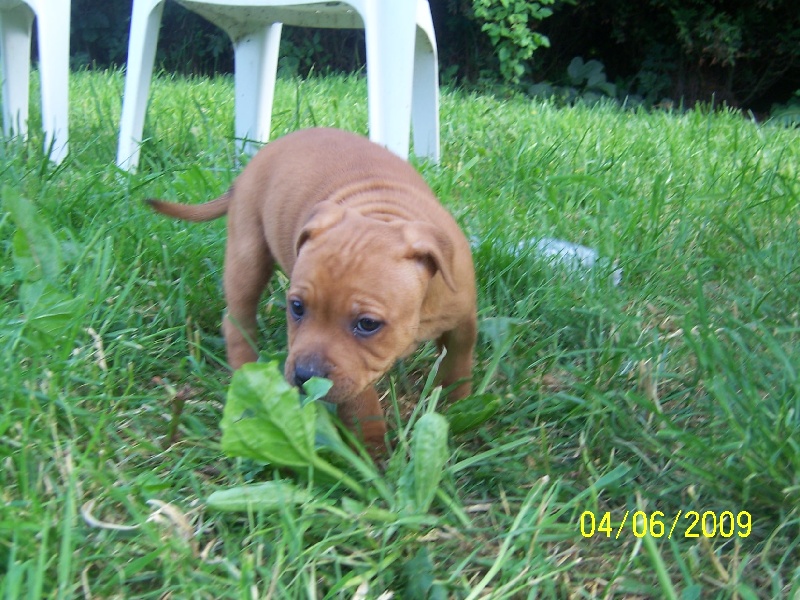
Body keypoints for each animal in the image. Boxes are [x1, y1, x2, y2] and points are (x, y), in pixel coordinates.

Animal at [148, 128, 477, 451]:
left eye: (368, 324)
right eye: (297, 307)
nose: (306, 377)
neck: (383, 214)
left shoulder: (462, 320)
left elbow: (458, 360)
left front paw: (457, 403)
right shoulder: (351, 371)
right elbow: (362, 404)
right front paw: (373, 450)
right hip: (247, 255)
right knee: (237, 319)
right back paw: (247, 374)